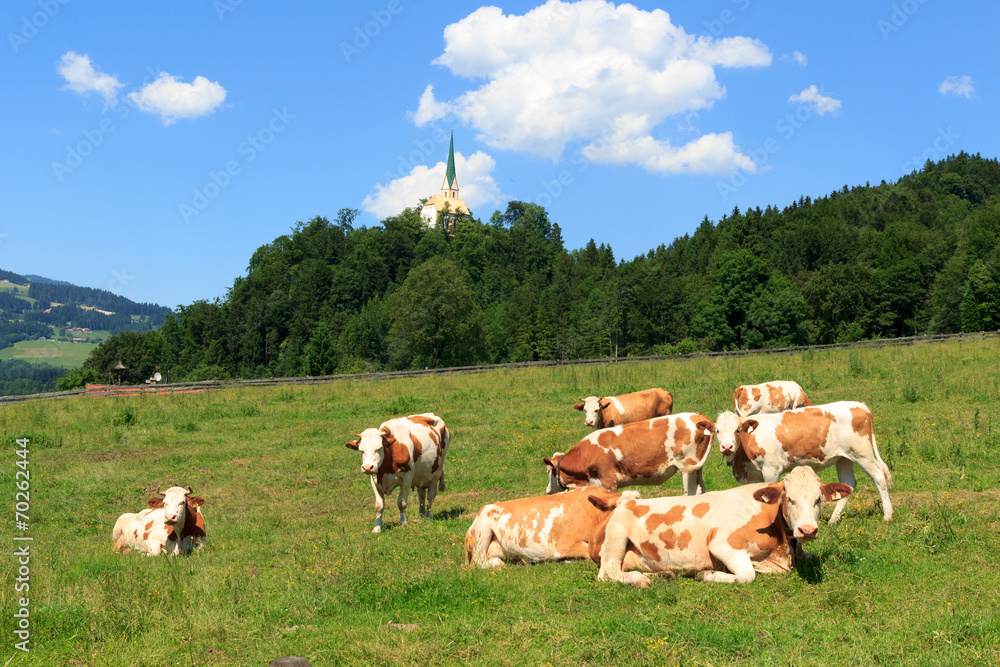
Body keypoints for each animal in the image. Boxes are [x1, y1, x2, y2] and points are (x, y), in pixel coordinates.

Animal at [544, 414, 716, 498]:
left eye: (548, 471)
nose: (547, 490)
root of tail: (698, 416)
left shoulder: (608, 482)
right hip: (697, 469)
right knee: (702, 490)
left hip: (688, 468)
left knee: (691, 492)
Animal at [592, 468, 852, 588]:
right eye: (790, 499)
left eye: (818, 499)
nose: (808, 530)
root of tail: (625, 502)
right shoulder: (723, 545)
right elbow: (747, 576)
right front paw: (706, 574)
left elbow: (809, 556)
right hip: (616, 537)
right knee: (608, 572)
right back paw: (640, 579)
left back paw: (662, 575)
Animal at [716, 400, 896, 524]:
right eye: (717, 431)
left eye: (737, 430)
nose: (727, 447)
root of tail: (860, 405)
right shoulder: (753, 475)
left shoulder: (771, 470)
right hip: (844, 458)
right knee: (848, 483)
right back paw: (834, 520)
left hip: (862, 453)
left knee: (879, 476)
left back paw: (887, 515)